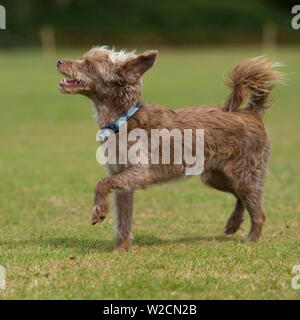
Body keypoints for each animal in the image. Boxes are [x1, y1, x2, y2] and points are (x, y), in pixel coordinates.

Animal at [56, 47, 282, 251]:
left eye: (88, 64)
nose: (58, 61)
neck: (123, 119)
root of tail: (251, 112)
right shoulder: (122, 181)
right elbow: (123, 220)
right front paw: (121, 249)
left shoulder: (139, 173)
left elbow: (101, 184)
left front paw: (99, 211)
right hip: (215, 177)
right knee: (241, 197)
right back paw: (233, 223)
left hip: (245, 173)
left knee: (258, 211)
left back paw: (251, 240)